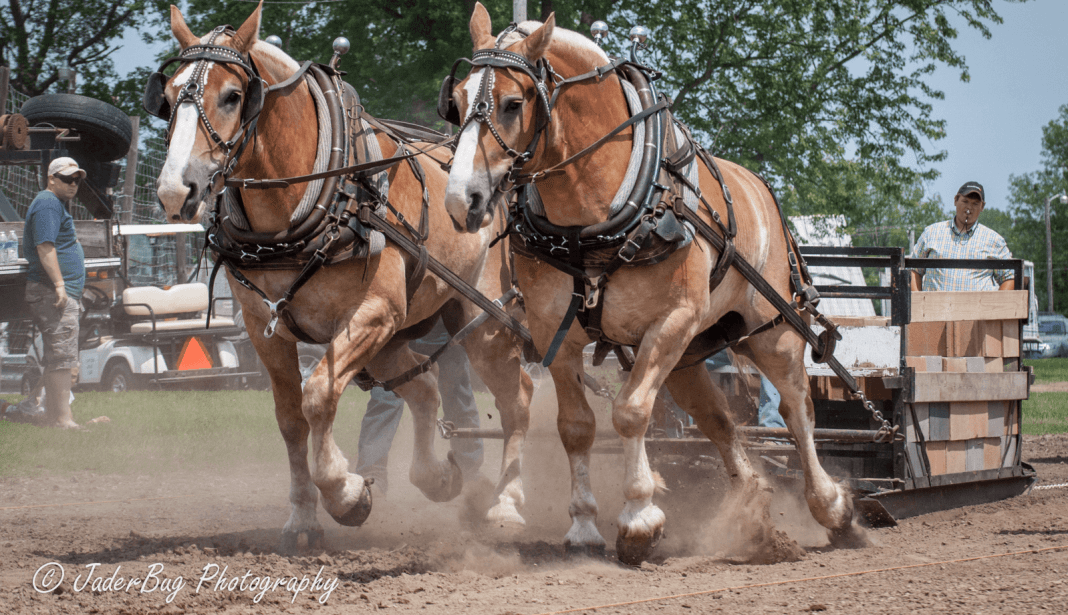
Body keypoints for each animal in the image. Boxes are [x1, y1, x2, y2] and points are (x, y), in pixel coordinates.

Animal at [152, 0, 534, 546]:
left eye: (232, 95)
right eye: (165, 98)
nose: (173, 190)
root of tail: (496, 193)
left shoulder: (373, 312)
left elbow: (317, 398)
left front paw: (346, 492)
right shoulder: (265, 327)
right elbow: (290, 417)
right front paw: (302, 517)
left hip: (479, 323)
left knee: (515, 398)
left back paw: (506, 505)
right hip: (394, 339)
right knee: (425, 387)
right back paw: (437, 476)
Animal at [442, 3, 867, 563]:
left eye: (513, 104)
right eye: (456, 101)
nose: (460, 199)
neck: (596, 217)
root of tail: (760, 189)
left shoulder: (672, 320)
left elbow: (630, 413)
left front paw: (640, 517)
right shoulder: (557, 330)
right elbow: (577, 426)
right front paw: (583, 525)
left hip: (767, 332)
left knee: (798, 409)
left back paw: (832, 508)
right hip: (690, 354)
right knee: (718, 420)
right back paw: (752, 510)